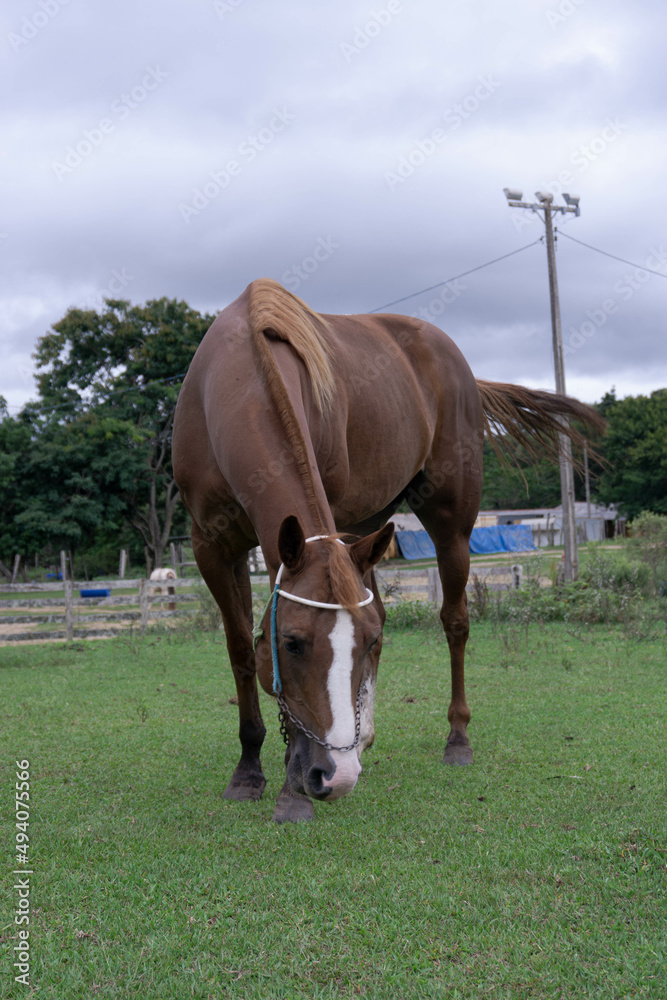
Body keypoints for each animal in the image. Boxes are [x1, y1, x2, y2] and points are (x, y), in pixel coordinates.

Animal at [172, 278, 602, 823]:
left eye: (363, 642)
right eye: (291, 643)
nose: (335, 776)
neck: (235, 380)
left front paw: (291, 790)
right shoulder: (212, 545)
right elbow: (241, 652)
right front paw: (249, 769)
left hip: (450, 528)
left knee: (455, 622)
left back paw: (454, 738)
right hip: (368, 532)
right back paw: (362, 739)